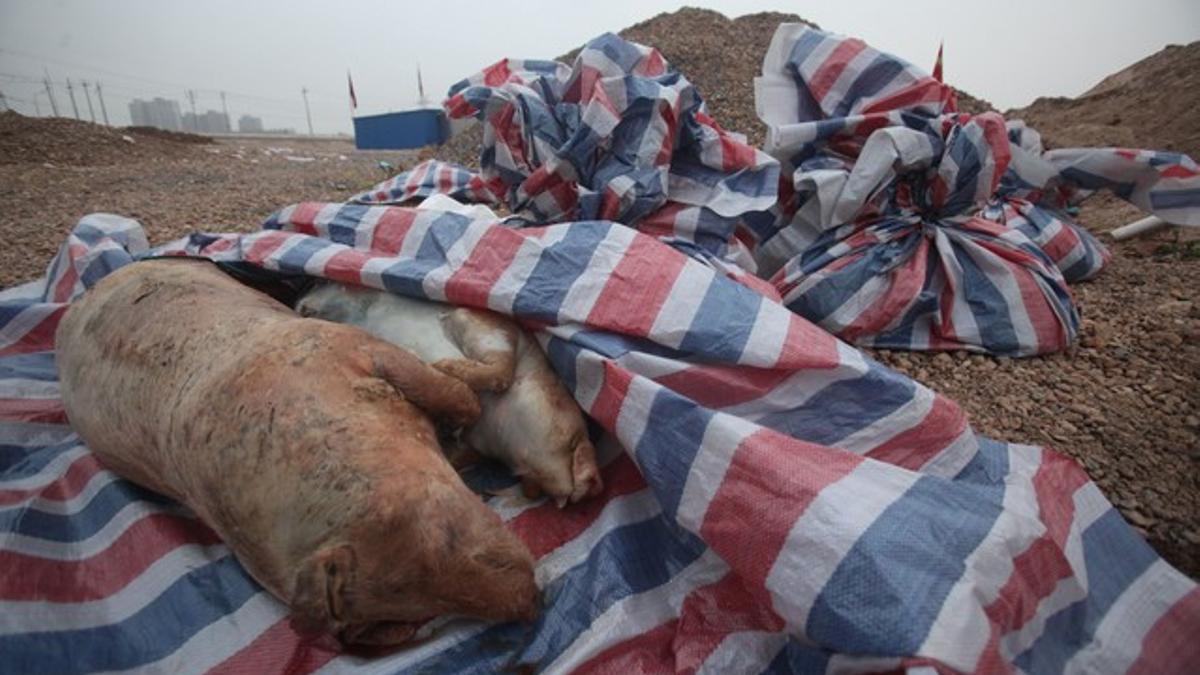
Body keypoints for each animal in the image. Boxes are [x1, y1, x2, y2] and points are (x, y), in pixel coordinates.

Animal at [55, 257, 540, 638]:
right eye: (419, 611)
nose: (533, 603)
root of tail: (74, 307)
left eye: (444, 532)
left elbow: (453, 393)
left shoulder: (343, 343)